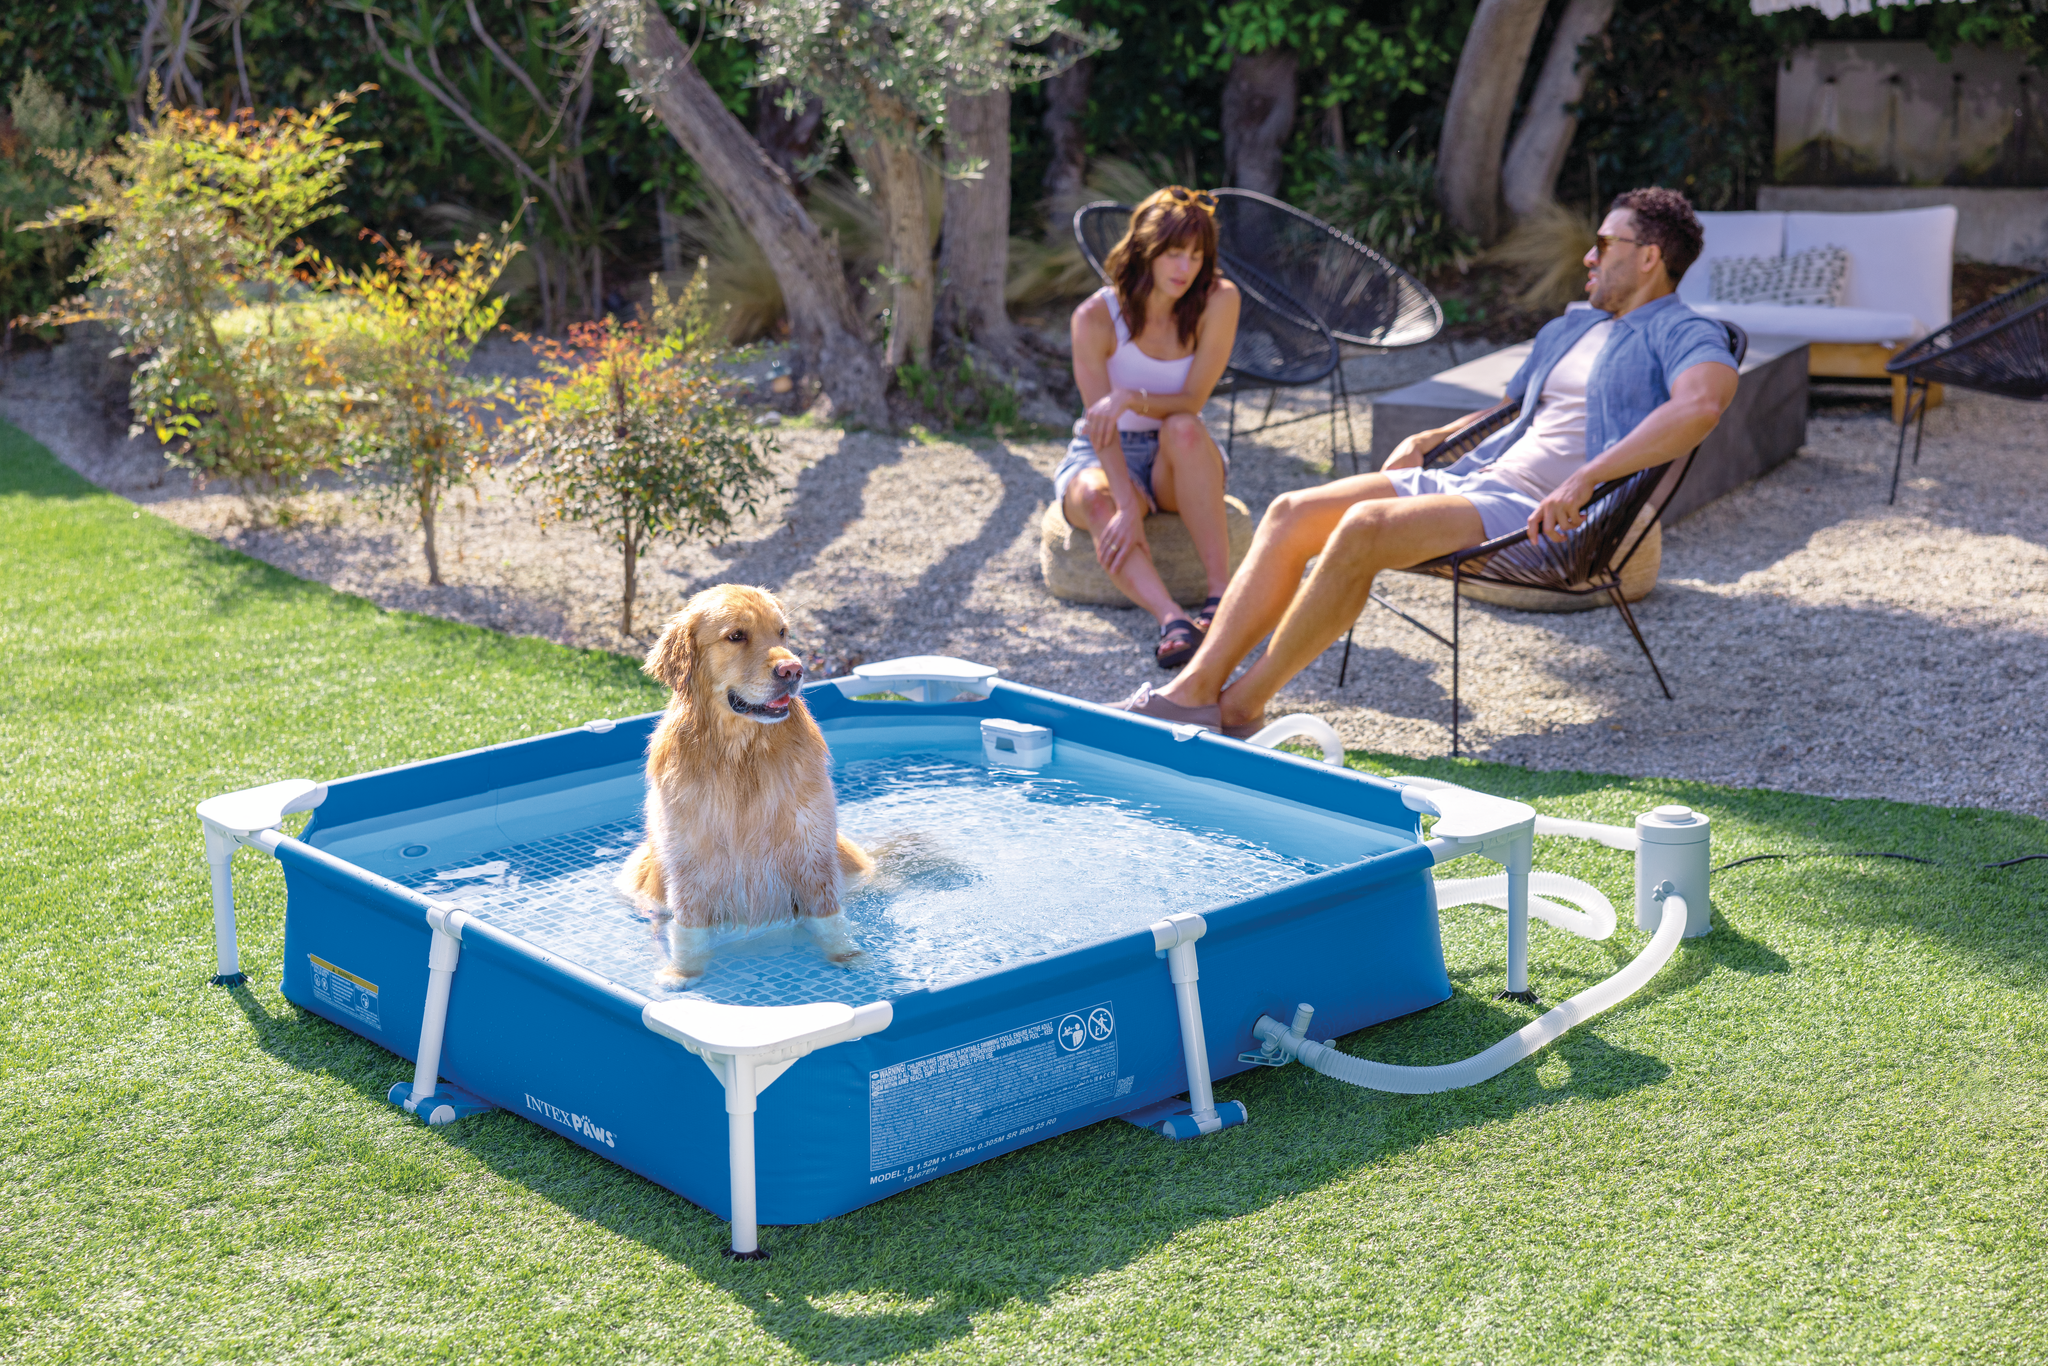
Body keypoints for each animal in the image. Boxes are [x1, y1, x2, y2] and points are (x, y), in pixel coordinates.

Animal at [617, 584, 873, 983]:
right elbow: (688, 933)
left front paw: (847, 956)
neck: (741, 756)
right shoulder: (688, 868)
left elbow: (831, 921)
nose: (793, 669)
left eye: (782, 632)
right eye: (736, 636)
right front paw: (683, 974)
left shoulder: (812, 855)